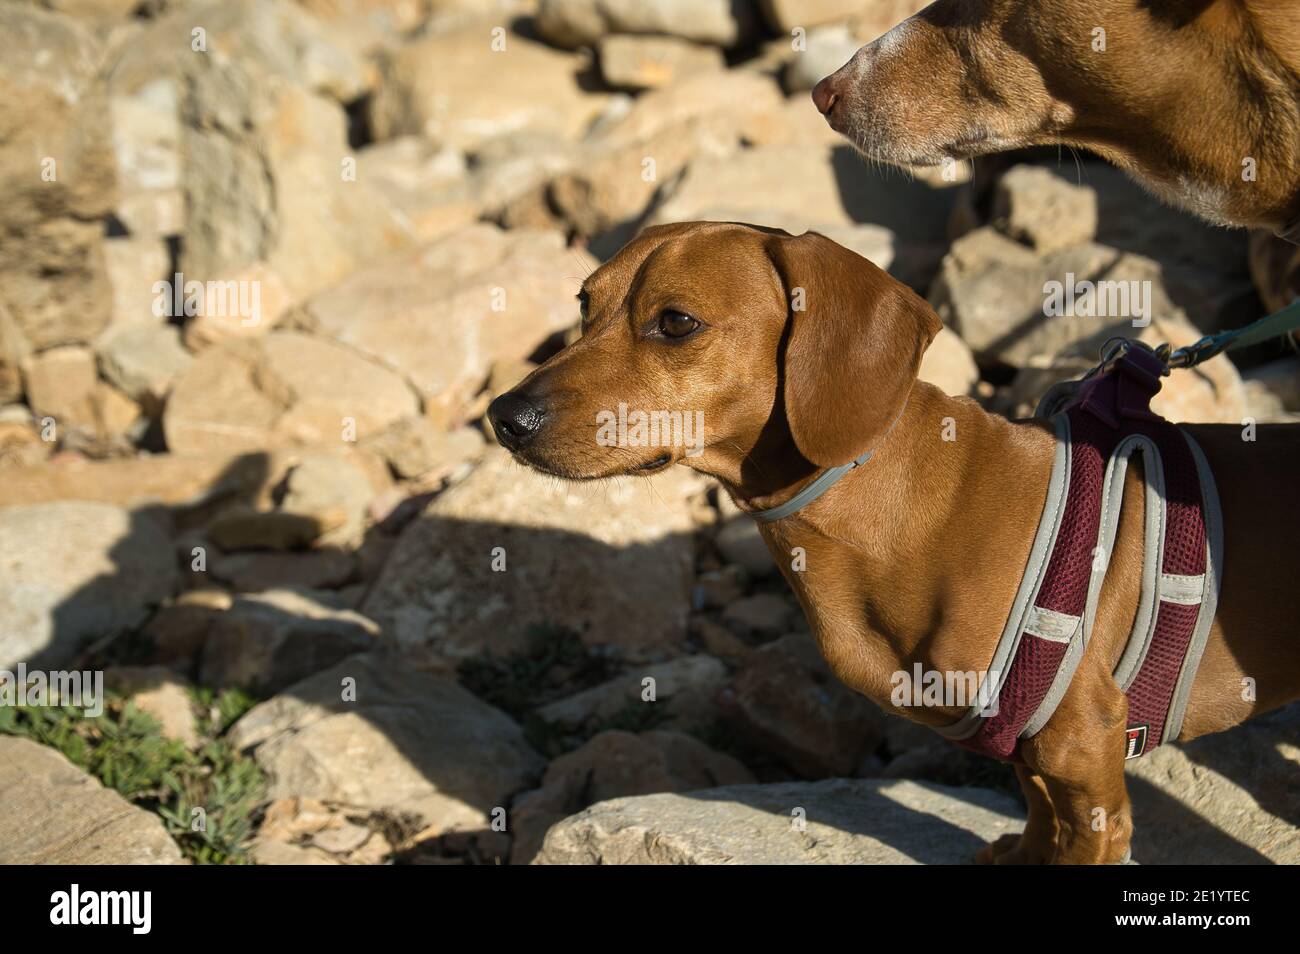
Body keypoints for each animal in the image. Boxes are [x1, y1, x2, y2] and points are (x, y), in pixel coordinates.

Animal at [488, 223, 1300, 868]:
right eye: (584, 306)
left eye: (677, 322)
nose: (504, 416)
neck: (900, 504)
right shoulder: (1031, 750)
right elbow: (1036, 811)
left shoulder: (1084, 754)